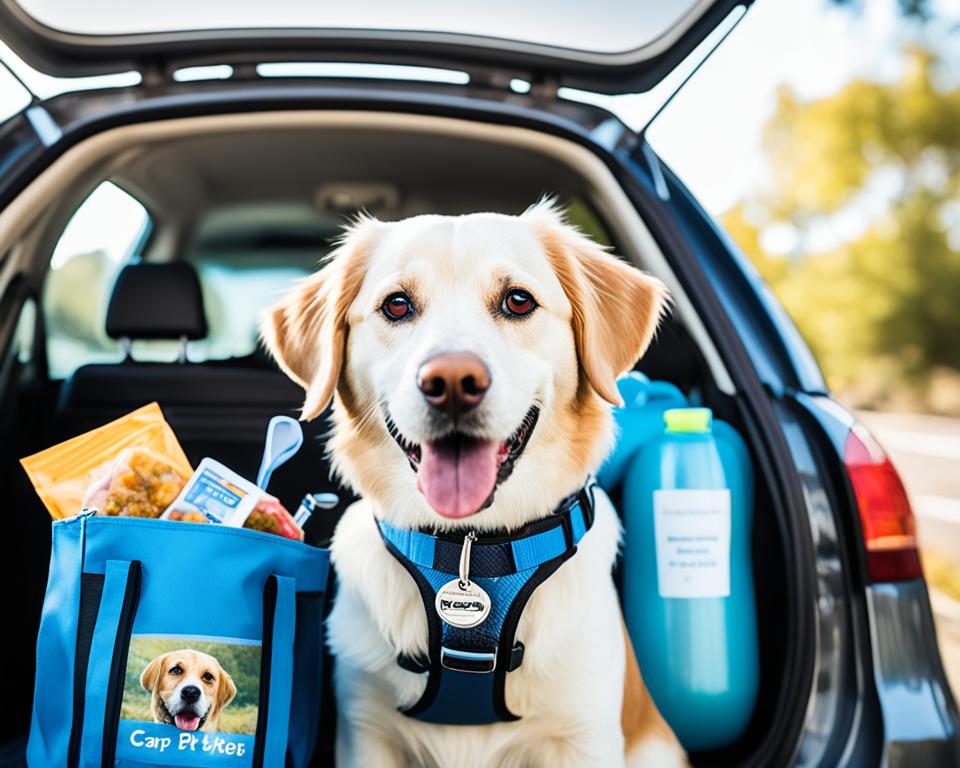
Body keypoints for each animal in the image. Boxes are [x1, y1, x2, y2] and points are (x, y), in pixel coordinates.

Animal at [258, 201, 688, 764]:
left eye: (518, 300)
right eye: (397, 305)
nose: (452, 382)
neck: (471, 546)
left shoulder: (583, 731)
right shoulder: (366, 727)